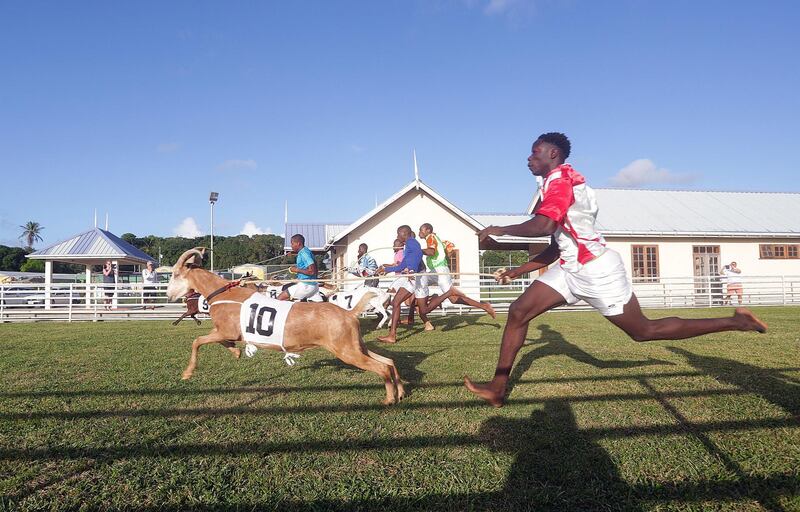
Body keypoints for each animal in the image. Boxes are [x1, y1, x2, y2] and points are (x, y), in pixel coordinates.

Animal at [169, 248, 406, 404]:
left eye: (175, 274)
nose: (170, 294)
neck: (224, 294)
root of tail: (349, 313)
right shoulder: (225, 332)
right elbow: (214, 341)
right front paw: (236, 352)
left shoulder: (226, 330)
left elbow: (197, 341)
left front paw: (187, 373)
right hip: (356, 346)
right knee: (389, 361)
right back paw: (401, 392)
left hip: (347, 351)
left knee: (382, 367)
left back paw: (389, 398)